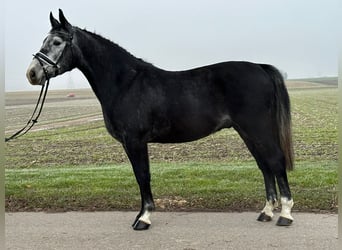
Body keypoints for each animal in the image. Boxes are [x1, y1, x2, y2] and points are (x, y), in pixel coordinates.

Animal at [26, 8, 294, 229]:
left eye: (57, 42)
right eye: (44, 41)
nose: (32, 73)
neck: (125, 83)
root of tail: (259, 67)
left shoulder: (135, 141)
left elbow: (142, 176)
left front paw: (143, 218)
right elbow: (141, 176)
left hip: (258, 129)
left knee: (276, 161)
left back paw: (285, 214)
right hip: (247, 131)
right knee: (264, 165)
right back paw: (266, 212)